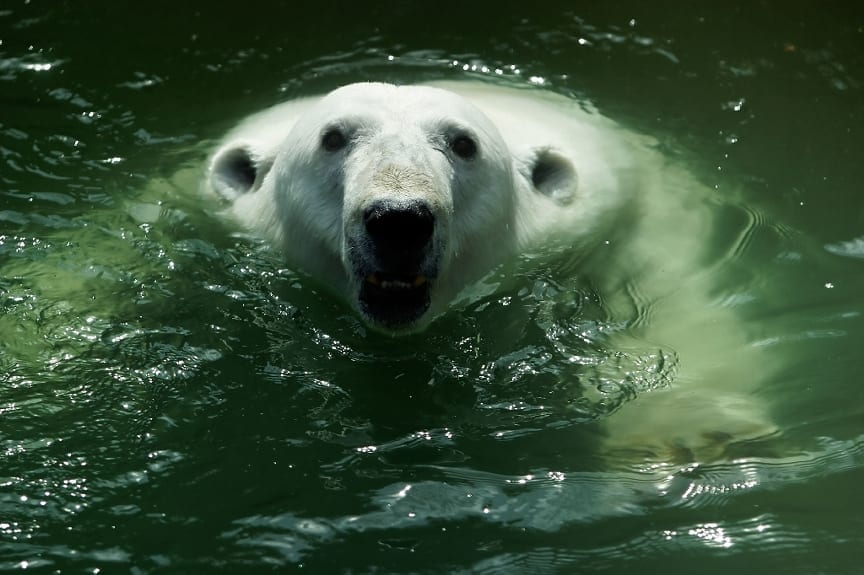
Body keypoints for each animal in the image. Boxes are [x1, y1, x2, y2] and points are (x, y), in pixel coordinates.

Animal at [208, 80, 776, 460]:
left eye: (464, 143)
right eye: (332, 137)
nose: (399, 219)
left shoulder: (621, 209)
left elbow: (672, 292)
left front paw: (693, 433)